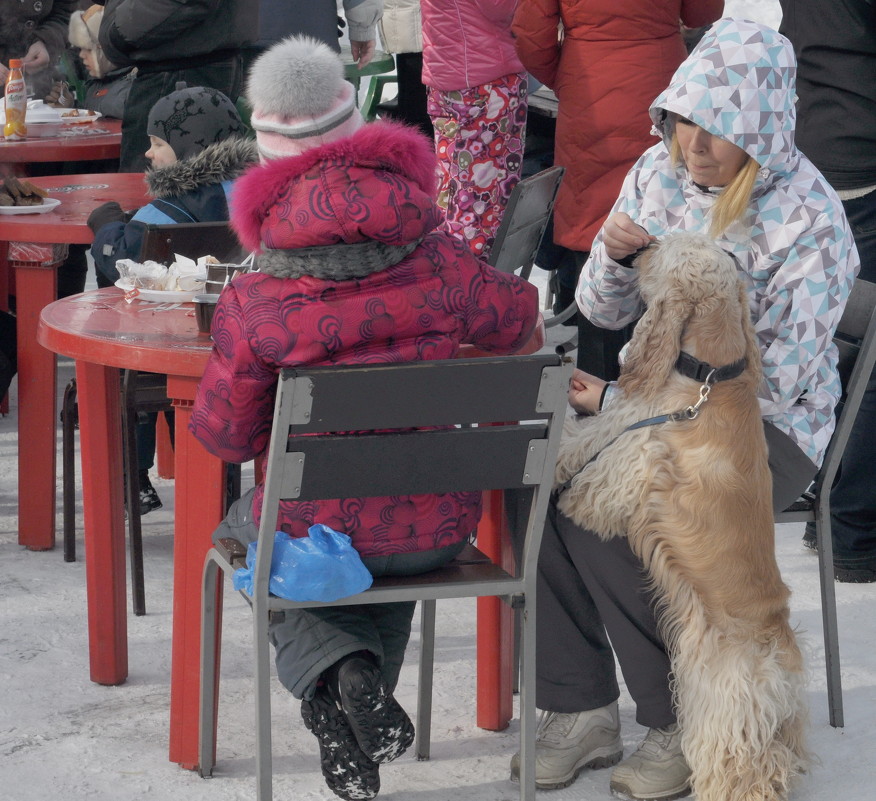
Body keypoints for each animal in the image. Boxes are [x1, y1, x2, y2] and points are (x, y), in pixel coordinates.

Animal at [556, 231, 812, 800]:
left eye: (667, 249)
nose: (638, 248)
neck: (709, 379)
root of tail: (780, 648)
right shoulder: (620, 424)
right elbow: (586, 430)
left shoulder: (624, 467)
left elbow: (579, 463)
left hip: (726, 697)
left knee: (745, 763)